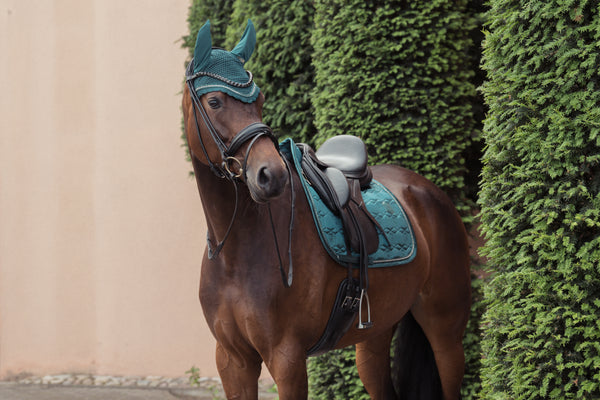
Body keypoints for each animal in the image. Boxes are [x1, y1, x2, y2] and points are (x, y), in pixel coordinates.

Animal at [180, 21, 472, 400]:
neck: (237, 253)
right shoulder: (233, 360)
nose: (270, 175)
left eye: (259, 100)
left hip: (446, 333)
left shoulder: (287, 358)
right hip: (375, 334)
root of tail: (429, 192)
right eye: (214, 101)